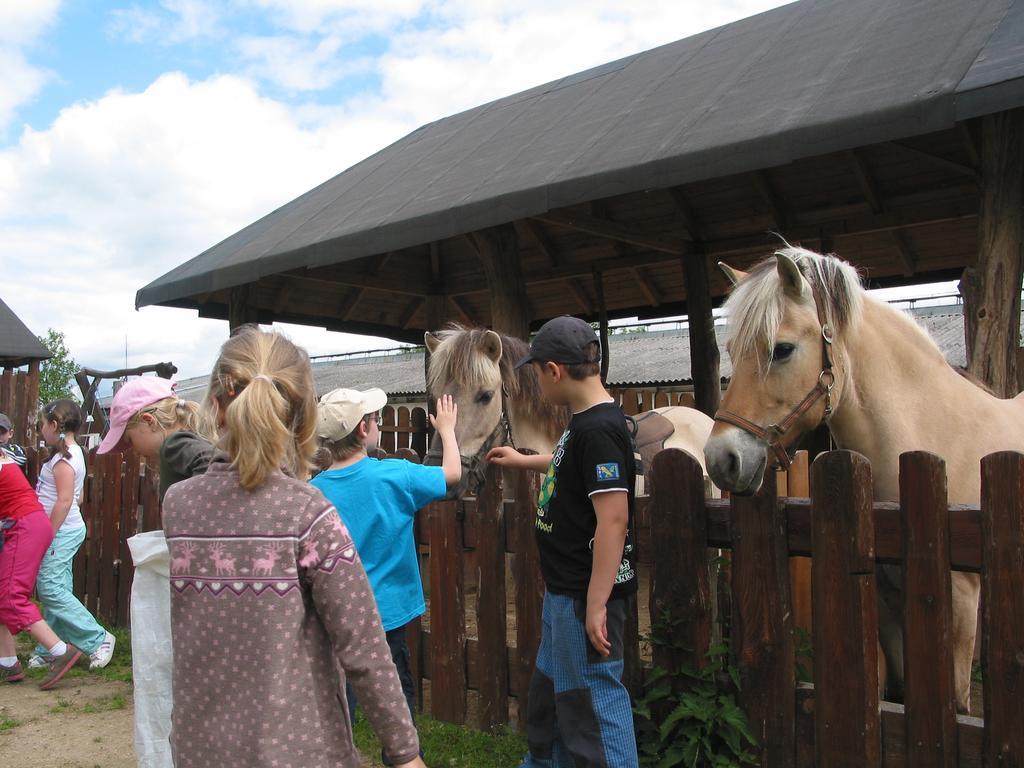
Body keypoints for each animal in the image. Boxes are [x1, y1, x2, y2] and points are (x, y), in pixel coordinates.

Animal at [704, 246, 1024, 716]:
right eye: (731, 349)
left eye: (782, 350)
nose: (720, 459)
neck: (937, 432)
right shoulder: (889, 606)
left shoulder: (963, 602)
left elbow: (959, 704)